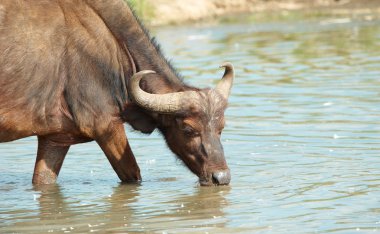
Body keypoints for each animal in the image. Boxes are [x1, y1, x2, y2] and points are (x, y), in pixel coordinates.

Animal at [0, 0, 235, 186]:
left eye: (221, 128)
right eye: (188, 129)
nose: (220, 178)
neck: (115, 50)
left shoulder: (55, 138)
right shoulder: (106, 126)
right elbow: (132, 174)